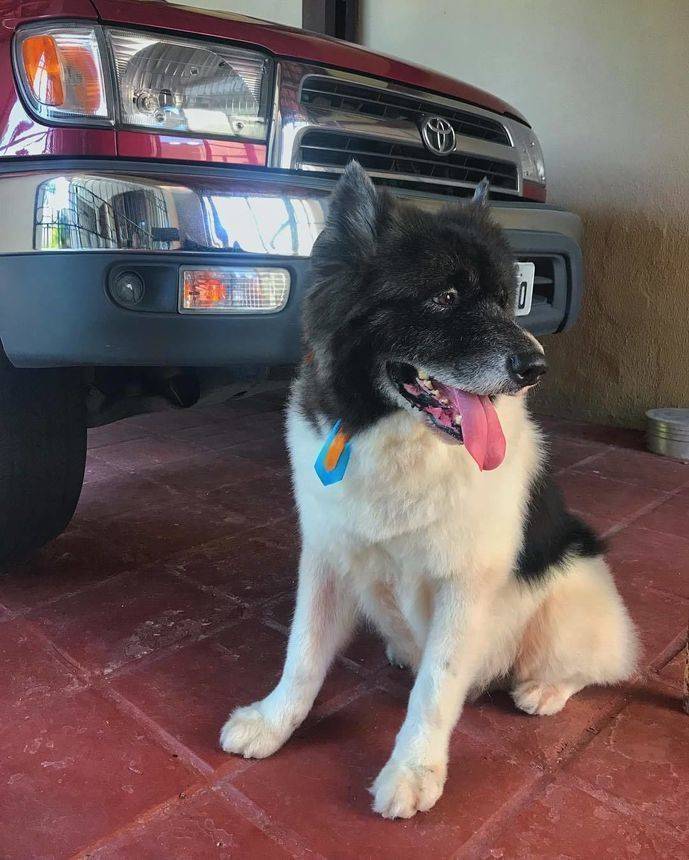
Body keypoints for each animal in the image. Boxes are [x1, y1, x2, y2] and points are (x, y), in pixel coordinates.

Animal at [220, 161, 638, 819]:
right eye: (444, 298)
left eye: (503, 300)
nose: (535, 367)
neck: (401, 440)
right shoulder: (328, 562)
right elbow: (303, 655)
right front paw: (273, 721)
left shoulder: (462, 589)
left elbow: (435, 688)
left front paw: (414, 769)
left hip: (569, 598)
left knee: (596, 665)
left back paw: (543, 687)